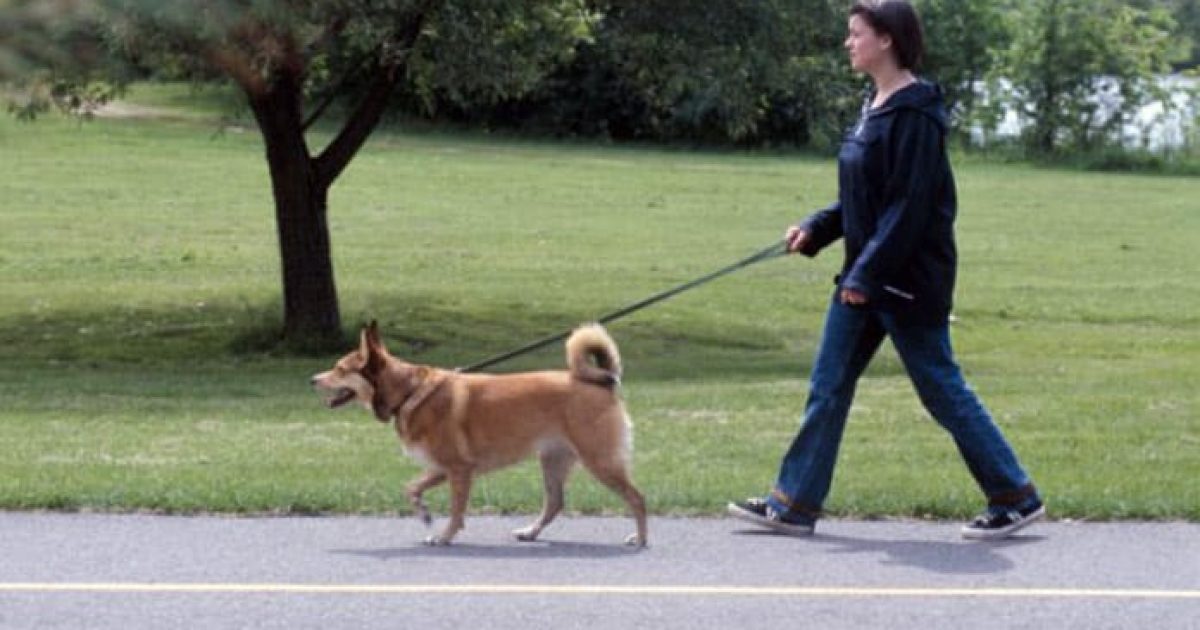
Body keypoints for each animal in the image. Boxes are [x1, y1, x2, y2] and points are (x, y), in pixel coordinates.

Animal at [309, 319, 648, 544]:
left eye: (340, 369)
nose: (312, 379)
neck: (409, 391)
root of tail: (602, 381)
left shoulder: (459, 470)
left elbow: (456, 511)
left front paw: (444, 536)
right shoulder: (444, 468)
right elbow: (412, 488)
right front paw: (424, 514)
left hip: (600, 461)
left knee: (637, 498)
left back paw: (641, 538)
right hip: (553, 460)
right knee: (555, 503)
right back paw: (531, 532)